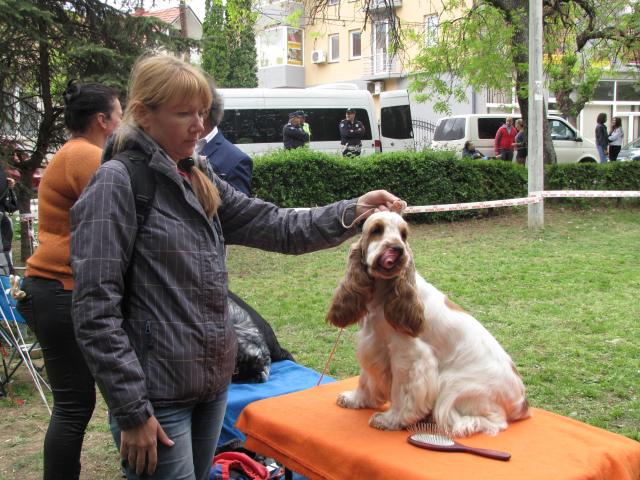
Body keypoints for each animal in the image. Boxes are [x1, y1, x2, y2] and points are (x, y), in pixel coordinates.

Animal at [324, 212, 528, 436]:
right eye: (377, 230)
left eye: (403, 235)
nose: (397, 249)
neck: (383, 293)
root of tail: (522, 403)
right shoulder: (373, 345)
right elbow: (365, 378)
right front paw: (354, 399)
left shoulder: (408, 356)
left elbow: (402, 391)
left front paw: (390, 419)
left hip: (453, 383)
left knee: (493, 421)